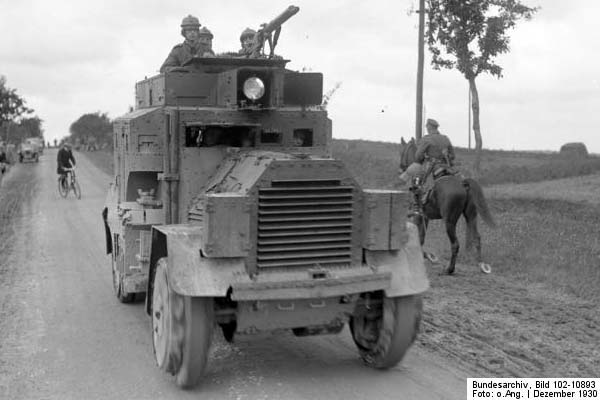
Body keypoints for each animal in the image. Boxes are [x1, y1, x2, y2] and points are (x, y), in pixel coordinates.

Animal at [398, 138, 496, 276]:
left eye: (403, 152)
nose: (401, 167)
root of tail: (463, 183)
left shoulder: (419, 216)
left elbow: (419, 238)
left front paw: (429, 256)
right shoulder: (425, 217)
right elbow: (421, 238)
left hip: (449, 221)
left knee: (455, 244)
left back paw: (450, 269)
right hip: (471, 216)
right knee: (476, 238)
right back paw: (482, 265)